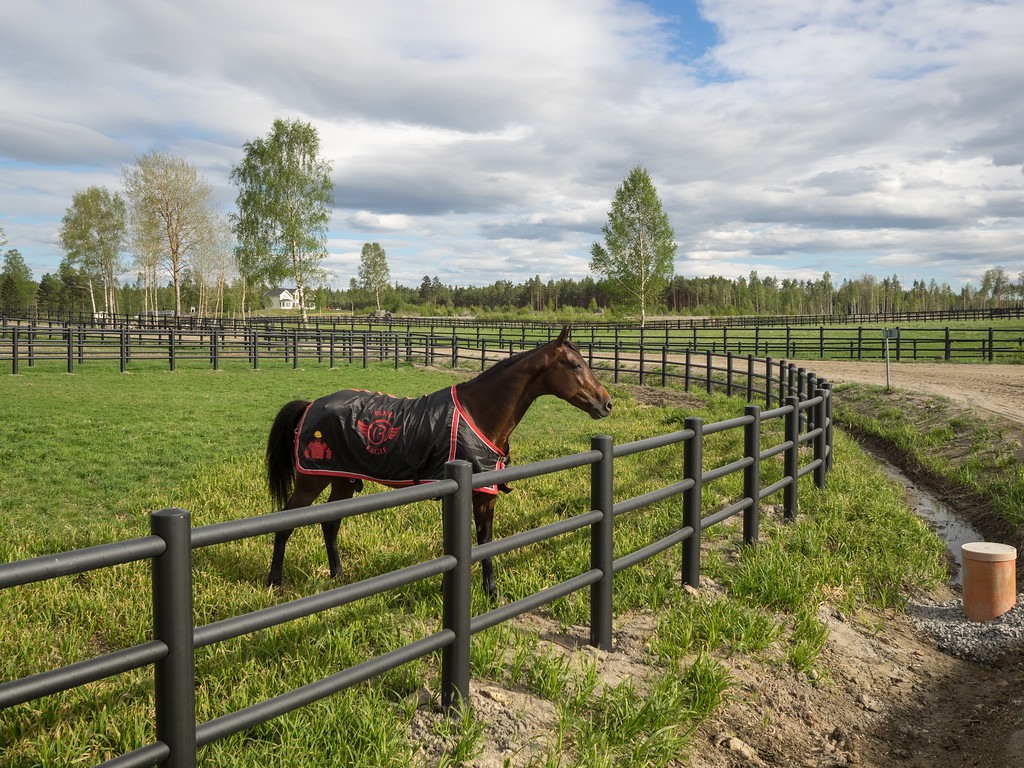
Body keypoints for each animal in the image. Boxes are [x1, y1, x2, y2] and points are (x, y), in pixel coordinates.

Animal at [266, 327, 614, 598]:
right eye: (575, 365)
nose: (607, 403)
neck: (478, 413)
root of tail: (311, 405)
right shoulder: (469, 492)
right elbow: (475, 541)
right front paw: (484, 591)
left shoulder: (485, 494)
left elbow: (485, 539)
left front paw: (488, 591)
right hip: (311, 480)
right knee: (286, 523)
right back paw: (274, 581)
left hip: (341, 479)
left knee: (330, 523)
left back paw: (338, 576)